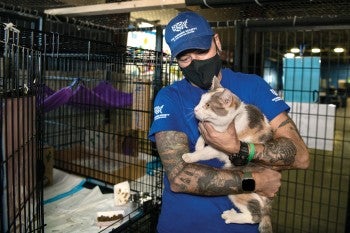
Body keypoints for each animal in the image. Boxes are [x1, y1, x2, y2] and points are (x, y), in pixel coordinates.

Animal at [182, 77, 274, 233]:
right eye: (200, 100)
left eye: (208, 105)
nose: (195, 109)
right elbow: (203, 136)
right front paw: (199, 144)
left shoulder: (221, 144)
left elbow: (206, 152)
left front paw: (191, 156)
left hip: (240, 188)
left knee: (255, 216)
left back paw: (231, 216)